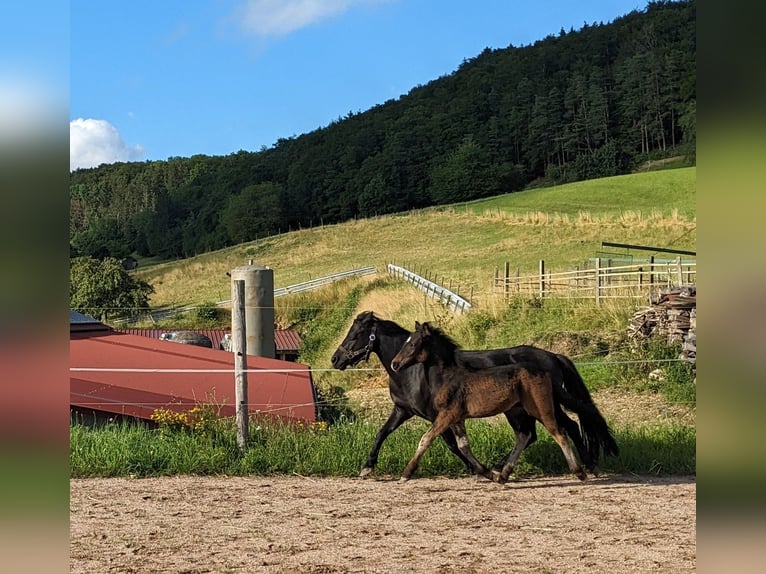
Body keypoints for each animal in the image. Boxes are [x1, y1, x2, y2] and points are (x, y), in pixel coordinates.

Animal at [330, 312, 616, 480]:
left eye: (356, 334)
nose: (335, 359)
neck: (412, 374)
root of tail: (553, 355)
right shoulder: (403, 410)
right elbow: (382, 433)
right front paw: (367, 466)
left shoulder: (437, 415)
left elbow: (450, 444)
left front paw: (476, 470)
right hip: (520, 409)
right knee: (535, 433)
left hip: (542, 405)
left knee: (566, 427)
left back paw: (587, 466)